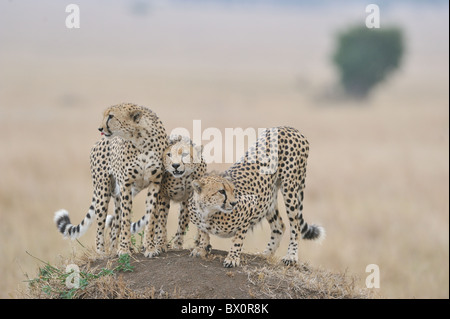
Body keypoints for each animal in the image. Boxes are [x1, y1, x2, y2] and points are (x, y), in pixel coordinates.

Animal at [54, 103, 167, 258]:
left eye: (111, 116)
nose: (100, 128)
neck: (141, 139)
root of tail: (98, 142)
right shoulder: (126, 184)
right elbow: (126, 219)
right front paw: (124, 249)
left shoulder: (155, 183)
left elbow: (150, 218)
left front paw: (150, 248)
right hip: (103, 191)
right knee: (100, 225)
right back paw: (102, 253)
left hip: (119, 194)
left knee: (114, 225)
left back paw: (114, 250)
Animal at [187, 126, 324, 268]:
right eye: (221, 191)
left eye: (232, 190)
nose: (234, 203)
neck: (207, 212)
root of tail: (287, 128)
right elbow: (203, 234)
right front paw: (201, 249)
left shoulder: (248, 212)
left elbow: (237, 240)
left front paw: (232, 258)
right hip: (269, 197)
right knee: (279, 226)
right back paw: (266, 254)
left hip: (289, 188)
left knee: (295, 226)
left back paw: (291, 256)